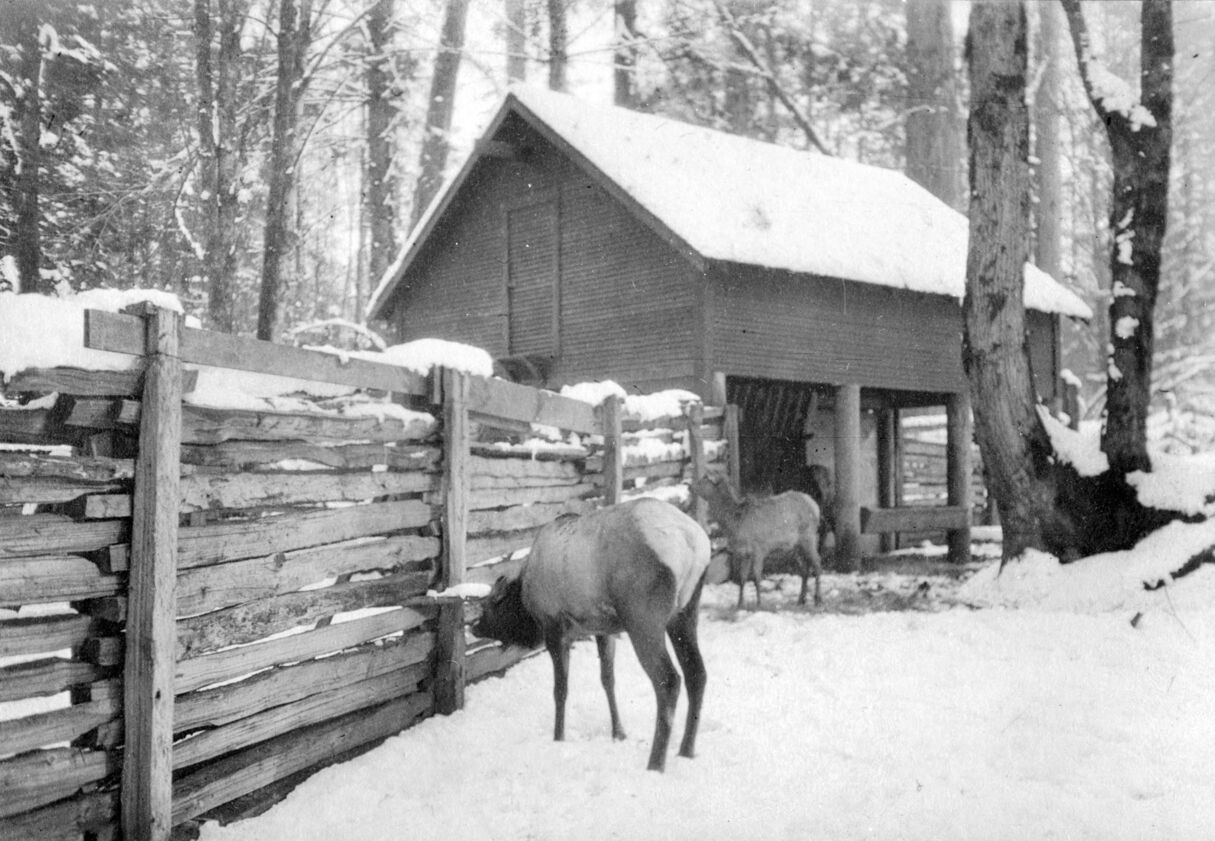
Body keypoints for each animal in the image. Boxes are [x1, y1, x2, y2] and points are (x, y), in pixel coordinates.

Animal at [468, 495, 709, 772]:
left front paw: (558, 737)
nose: (474, 626)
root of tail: (692, 543)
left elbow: (560, 690)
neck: (526, 600)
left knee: (669, 680)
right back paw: (686, 750)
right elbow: (608, 679)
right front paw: (618, 733)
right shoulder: (603, 629)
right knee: (697, 673)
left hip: (643, 618)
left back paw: (655, 764)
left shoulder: (555, 626)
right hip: (684, 612)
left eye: (488, 607)